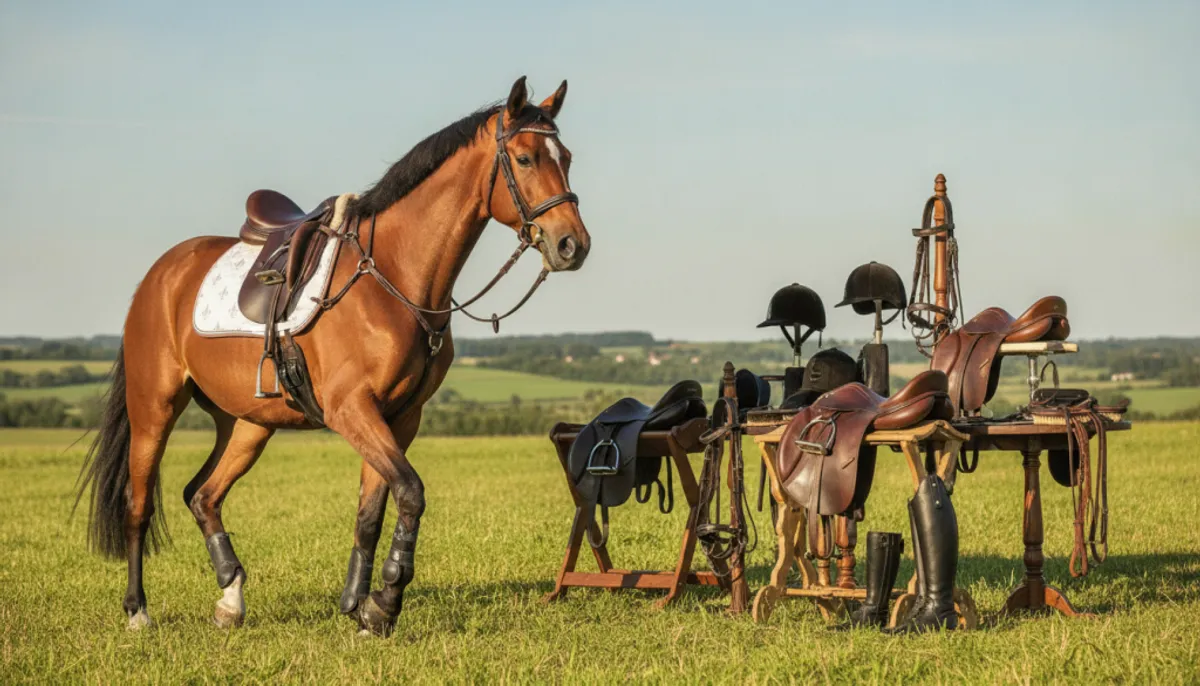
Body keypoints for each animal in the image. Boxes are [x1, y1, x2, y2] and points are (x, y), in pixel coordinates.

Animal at [75, 77, 590, 636]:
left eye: (566, 157)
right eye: (524, 158)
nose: (573, 245)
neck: (393, 276)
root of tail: (160, 274)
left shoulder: (399, 417)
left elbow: (372, 512)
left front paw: (359, 607)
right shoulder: (352, 410)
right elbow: (411, 492)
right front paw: (384, 604)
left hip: (247, 423)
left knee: (203, 494)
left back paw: (231, 600)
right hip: (155, 407)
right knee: (139, 505)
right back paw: (138, 611)